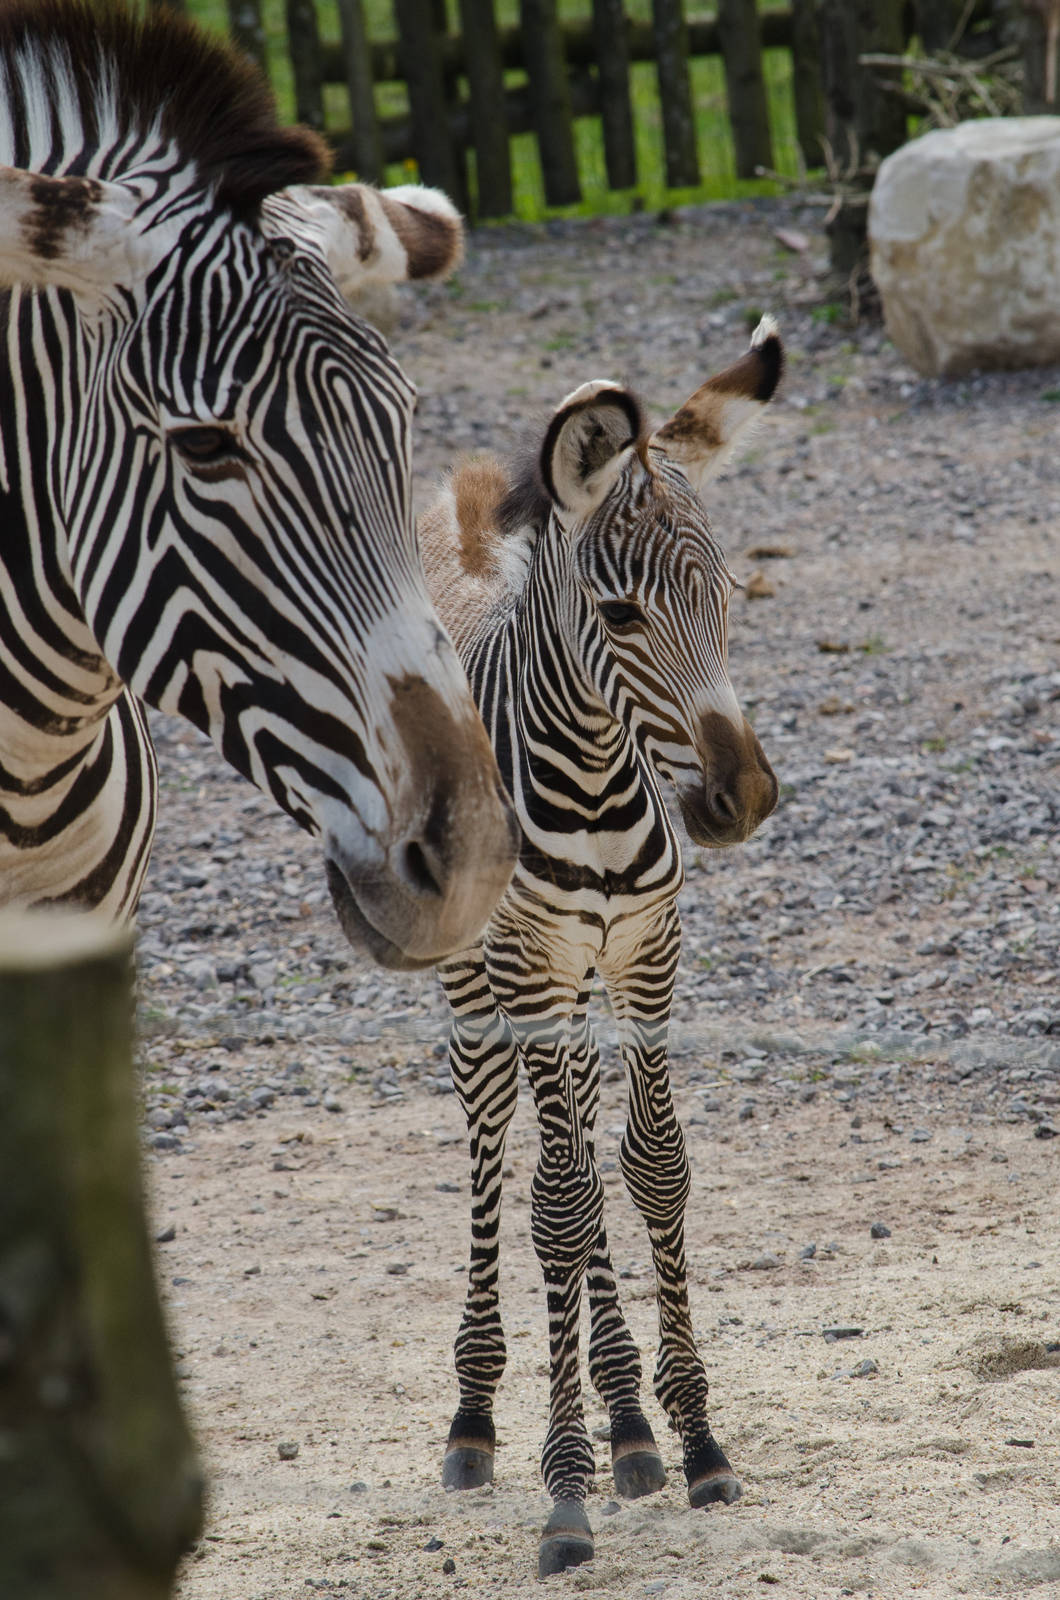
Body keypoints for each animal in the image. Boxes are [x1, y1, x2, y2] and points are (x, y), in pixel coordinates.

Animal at [418, 319, 782, 1575]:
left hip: (577, 986)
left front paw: (694, 1439)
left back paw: (629, 1424)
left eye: (727, 593)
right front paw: (562, 1491)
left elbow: (650, 1169)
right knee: (500, 1151)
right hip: (478, 986)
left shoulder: (645, 954)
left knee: (570, 1134)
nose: (743, 798)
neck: (592, 784)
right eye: (621, 616)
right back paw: (477, 1420)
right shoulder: (530, 966)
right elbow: (559, 1205)